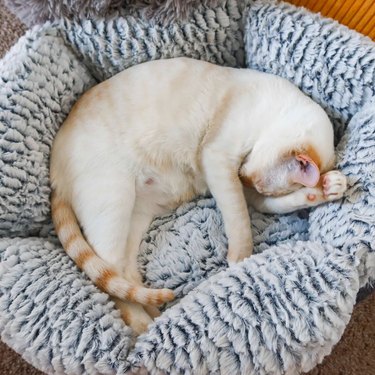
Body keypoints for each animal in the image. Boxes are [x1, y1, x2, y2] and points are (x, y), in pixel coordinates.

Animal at [49, 56, 346, 334]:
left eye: (258, 185)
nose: (245, 178)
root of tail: (54, 175)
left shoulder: (250, 193)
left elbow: (277, 203)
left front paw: (328, 187)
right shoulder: (218, 161)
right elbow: (240, 220)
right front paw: (241, 259)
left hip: (135, 215)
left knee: (122, 273)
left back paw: (155, 312)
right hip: (114, 201)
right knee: (108, 277)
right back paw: (144, 327)